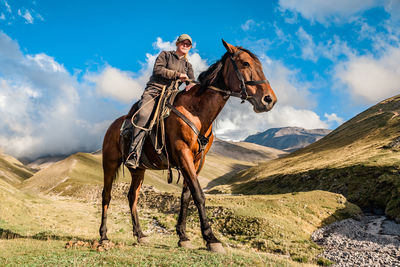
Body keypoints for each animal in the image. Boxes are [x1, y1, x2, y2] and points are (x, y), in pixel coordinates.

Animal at [98, 40, 276, 253]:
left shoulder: (197, 161)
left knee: (132, 196)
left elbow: (186, 196)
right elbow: (199, 195)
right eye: (245, 63)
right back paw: (103, 236)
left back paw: (140, 235)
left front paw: (183, 236)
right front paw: (211, 238)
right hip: (110, 163)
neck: (196, 112)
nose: (269, 100)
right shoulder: (183, 154)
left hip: (138, 170)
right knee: (106, 196)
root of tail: (112, 127)